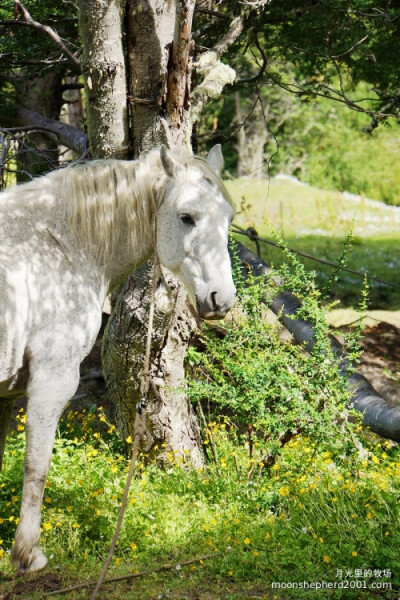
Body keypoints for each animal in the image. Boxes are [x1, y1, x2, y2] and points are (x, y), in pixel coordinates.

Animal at [0, 145, 236, 572]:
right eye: (187, 217)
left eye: (229, 218)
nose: (221, 300)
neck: (60, 246)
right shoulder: (51, 382)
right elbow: (36, 465)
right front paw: (28, 554)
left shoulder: (5, 396)